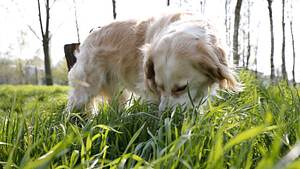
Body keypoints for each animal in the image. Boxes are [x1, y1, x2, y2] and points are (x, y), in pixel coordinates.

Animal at [67, 12, 240, 113]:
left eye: (181, 88)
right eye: (159, 86)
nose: (165, 114)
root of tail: (92, 33)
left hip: (119, 92)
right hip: (85, 88)